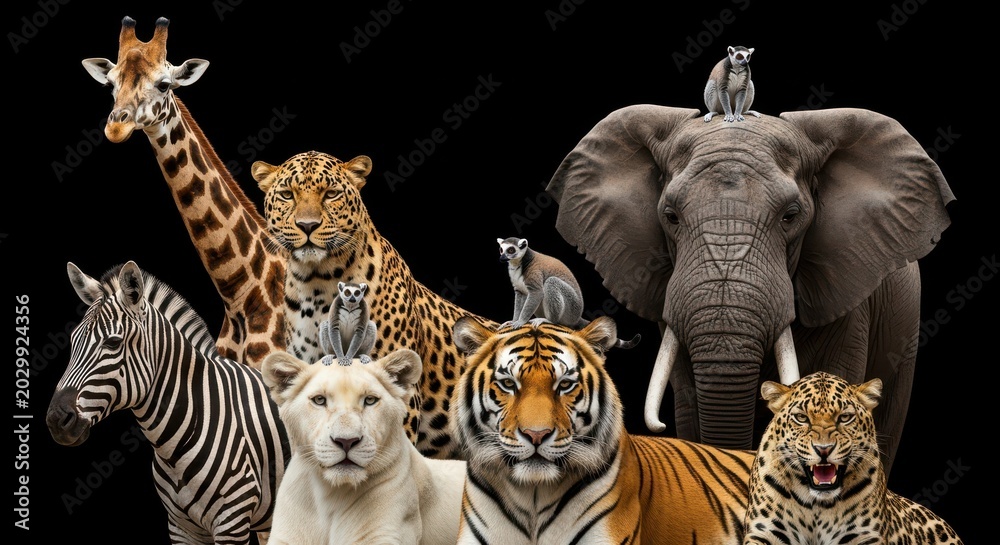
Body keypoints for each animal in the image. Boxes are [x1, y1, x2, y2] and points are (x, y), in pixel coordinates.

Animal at [742, 372, 963, 544]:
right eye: (802, 418)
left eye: (845, 417)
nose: (824, 449)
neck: (817, 505)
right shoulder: (765, 533)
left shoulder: (864, 536)